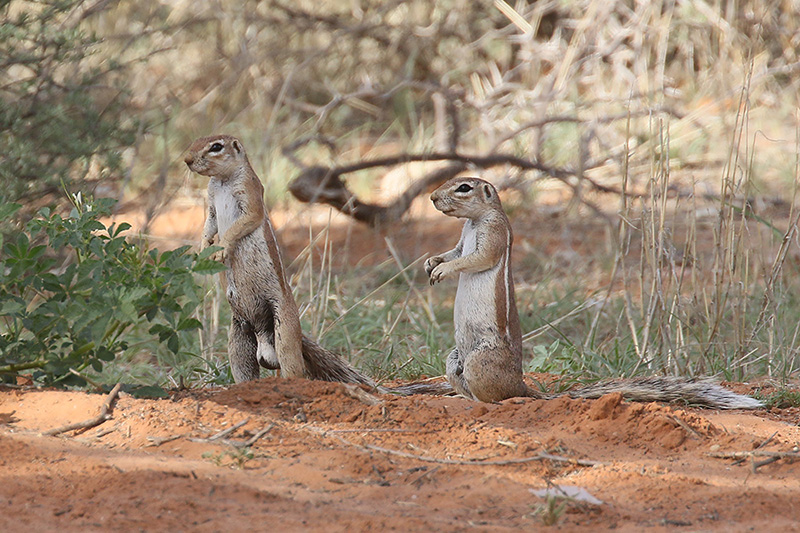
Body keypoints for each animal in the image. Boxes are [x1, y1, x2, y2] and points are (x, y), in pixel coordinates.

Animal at [424, 175, 764, 408]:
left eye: (463, 187)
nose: (432, 197)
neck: (474, 221)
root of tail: (521, 386)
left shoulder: (493, 232)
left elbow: (476, 258)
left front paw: (443, 270)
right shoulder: (462, 239)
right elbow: (455, 252)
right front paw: (432, 261)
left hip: (481, 361)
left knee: (499, 396)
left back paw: (495, 401)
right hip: (455, 359)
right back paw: (461, 399)